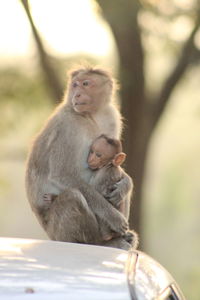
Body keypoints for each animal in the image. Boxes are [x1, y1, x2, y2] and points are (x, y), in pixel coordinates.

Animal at [25, 67, 131, 250]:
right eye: (75, 85)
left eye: (86, 84)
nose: (77, 94)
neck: (91, 115)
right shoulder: (67, 126)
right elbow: (62, 174)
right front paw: (113, 216)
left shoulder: (112, 116)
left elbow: (117, 161)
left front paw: (126, 185)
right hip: (58, 232)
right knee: (73, 196)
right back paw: (102, 242)